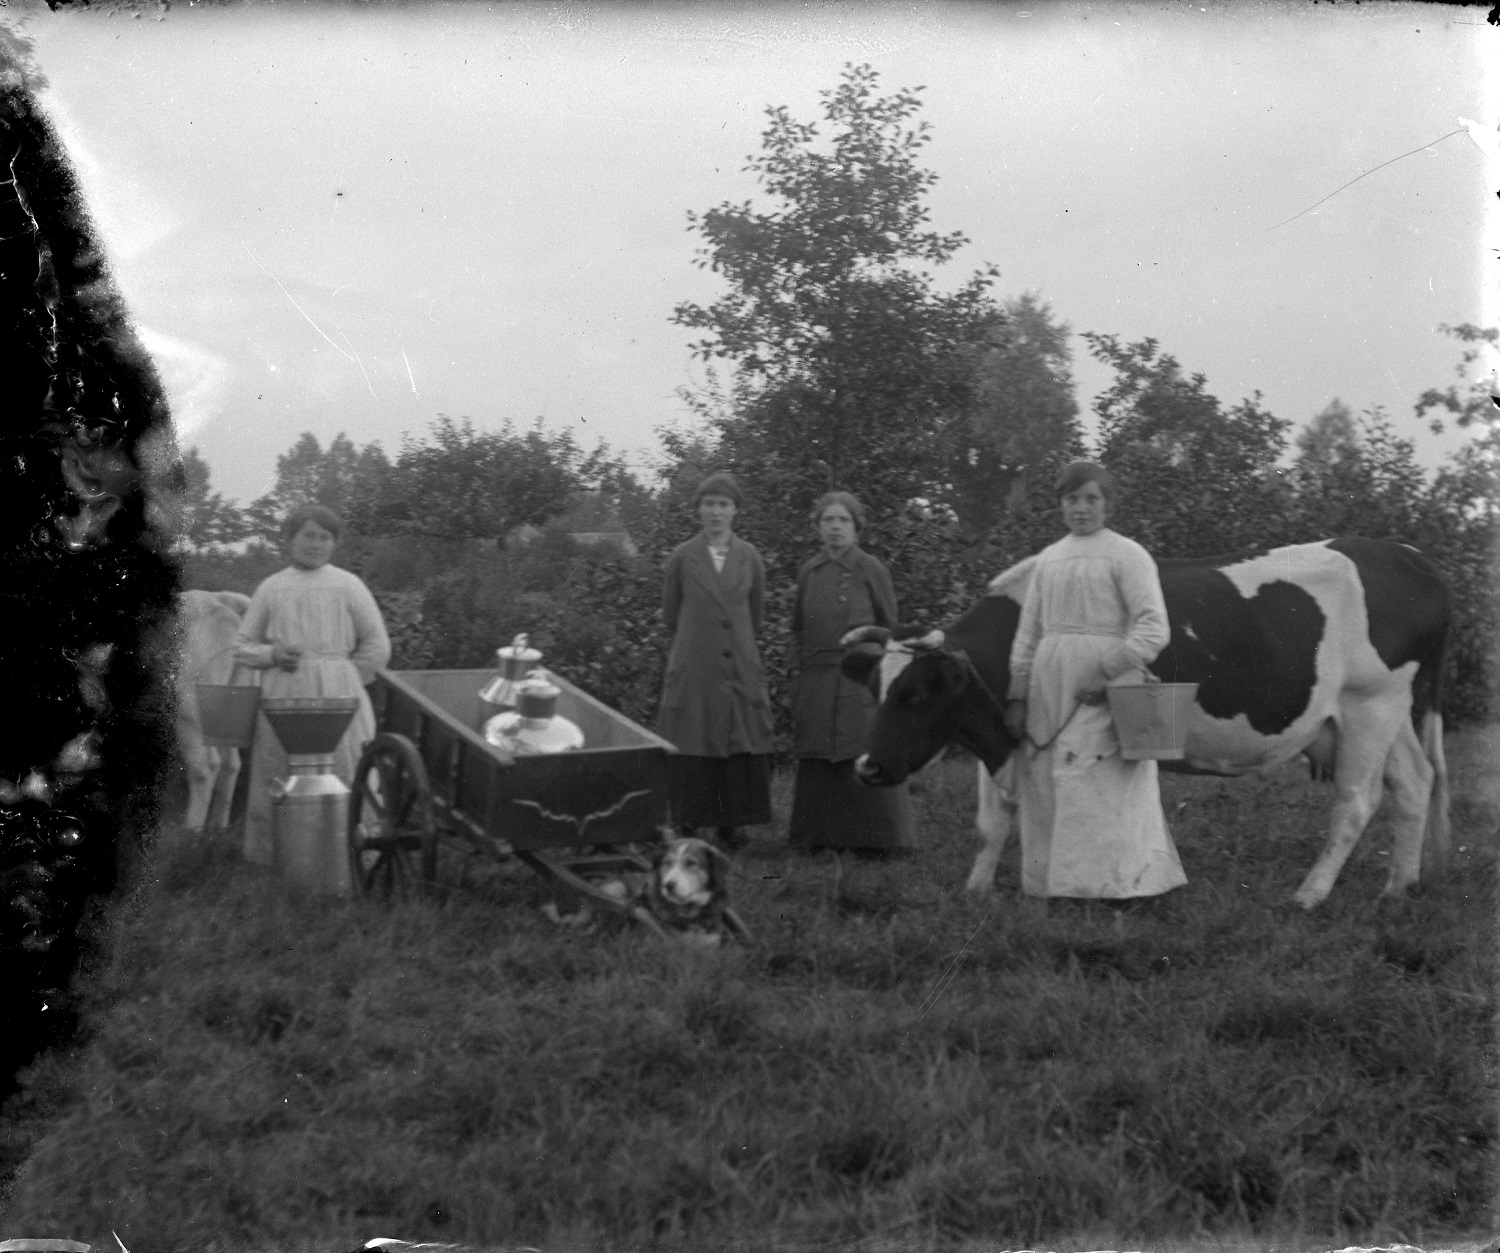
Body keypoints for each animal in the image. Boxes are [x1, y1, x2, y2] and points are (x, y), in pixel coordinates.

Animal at [177, 591, 255, 834]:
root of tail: (220, 599)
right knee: (230, 763)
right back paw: (217, 831)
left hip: (189, 709)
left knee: (205, 767)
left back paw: (190, 832)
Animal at [840, 540, 1446, 912]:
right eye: (874, 691)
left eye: (916, 695)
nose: (866, 767)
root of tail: (1409, 555)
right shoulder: (999, 736)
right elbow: (991, 823)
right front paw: (976, 890)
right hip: (1388, 714)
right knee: (1415, 784)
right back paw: (1400, 886)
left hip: (1370, 706)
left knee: (1357, 802)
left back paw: (1310, 894)